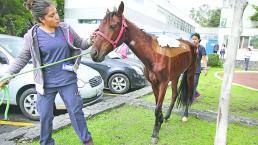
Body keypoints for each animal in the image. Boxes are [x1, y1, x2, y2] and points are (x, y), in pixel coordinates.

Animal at [90, 1, 198, 144]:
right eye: (99, 26)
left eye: (113, 25)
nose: (93, 53)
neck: (154, 56)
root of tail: (191, 45)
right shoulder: (154, 84)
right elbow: (158, 105)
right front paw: (160, 122)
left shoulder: (163, 83)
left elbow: (157, 108)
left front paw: (155, 133)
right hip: (175, 76)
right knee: (174, 94)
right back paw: (168, 115)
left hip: (190, 73)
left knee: (190, 93)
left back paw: (185, 116)